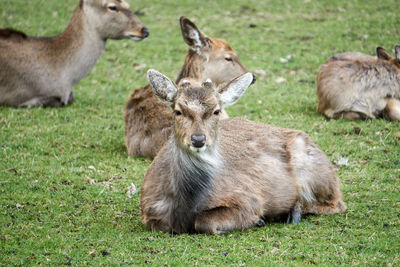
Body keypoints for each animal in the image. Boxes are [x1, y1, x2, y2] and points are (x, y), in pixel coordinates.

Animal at [139, 69, 346, 234]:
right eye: (177, 111)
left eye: (216, 111)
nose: (198, 139)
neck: (186, 204)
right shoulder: (149, 211)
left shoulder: (248, 198)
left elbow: (204, 222)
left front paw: (258, 220)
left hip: (314, 170)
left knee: (336, 204)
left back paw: (293, 213)